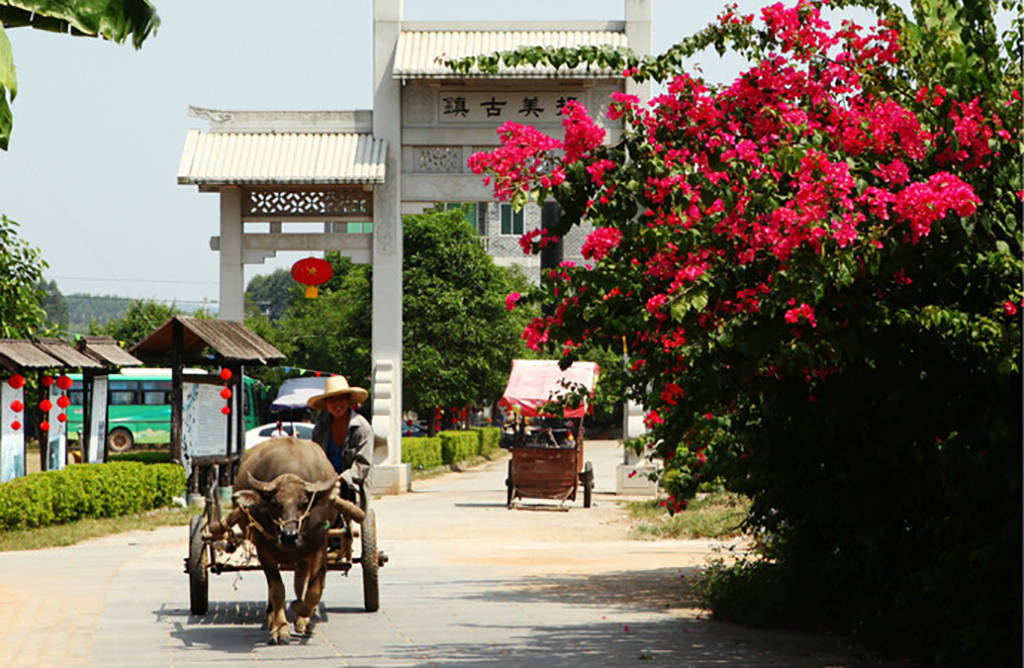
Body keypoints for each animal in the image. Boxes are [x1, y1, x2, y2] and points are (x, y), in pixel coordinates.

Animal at [206, 436, 364, 643]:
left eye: (304, 503)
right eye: (274, 503)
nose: (289, 536)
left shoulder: (319, 548)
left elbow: (314, 590)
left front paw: (302, 615)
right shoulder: (265, 551)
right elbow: (277, 589)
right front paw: (280, 628)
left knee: (302, 578)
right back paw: (271, 616)